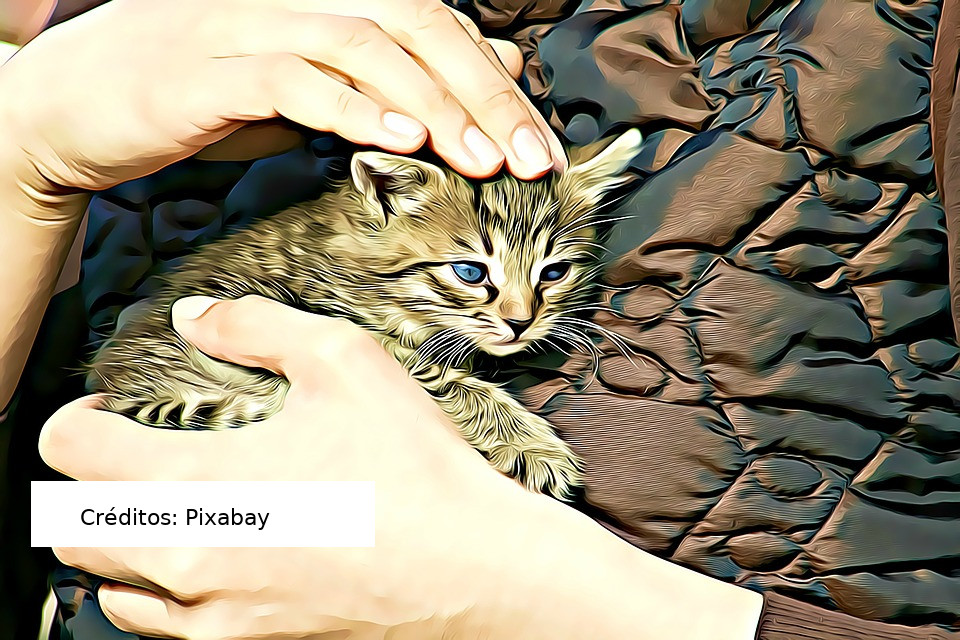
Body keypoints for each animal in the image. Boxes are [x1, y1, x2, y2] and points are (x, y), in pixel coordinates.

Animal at [86, 129, 643, 500]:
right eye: (469, 271)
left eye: (555, 272)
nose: (521, 321)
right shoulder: (356, 327)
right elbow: (450, 380)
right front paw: (530, 445)